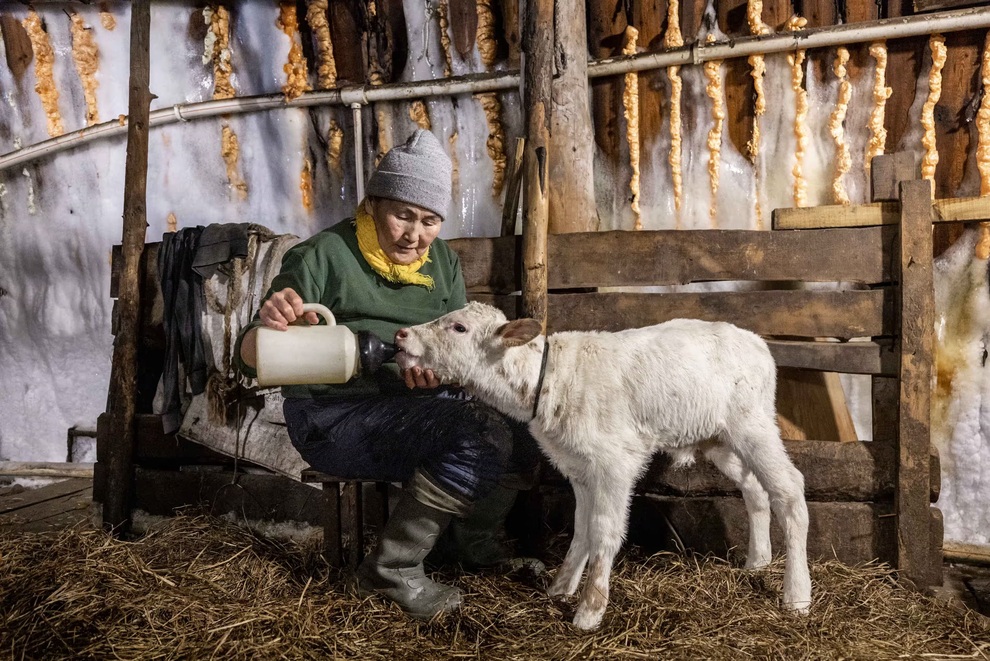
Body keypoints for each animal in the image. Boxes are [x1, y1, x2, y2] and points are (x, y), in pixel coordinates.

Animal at [396, 302, 812, 628]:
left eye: (459, 327)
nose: (401, 335)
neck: (548, 378)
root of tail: (758, 342)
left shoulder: (614, 462)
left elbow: (605, 531)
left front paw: (590, 609)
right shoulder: (578, 466)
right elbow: (582, 527)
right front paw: (561, 588)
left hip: (753, 422)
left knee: (789, 489)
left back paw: (797, 595)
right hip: (718, 437)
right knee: (754, 487)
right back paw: (757, 562)